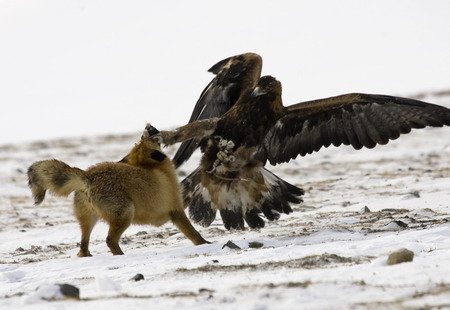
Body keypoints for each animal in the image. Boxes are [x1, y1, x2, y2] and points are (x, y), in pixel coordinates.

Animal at [27, 129, 210, 256]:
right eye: (150, 140)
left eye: (142, 139)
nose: (151, 130)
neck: (153, 168)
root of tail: (89, 176)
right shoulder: (175, 210)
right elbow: (194, 234)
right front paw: (206, 244)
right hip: (125, 214)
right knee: (109, 241)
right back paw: (121, 256)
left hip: (88, 221)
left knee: (83, 247)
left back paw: (88, 256)